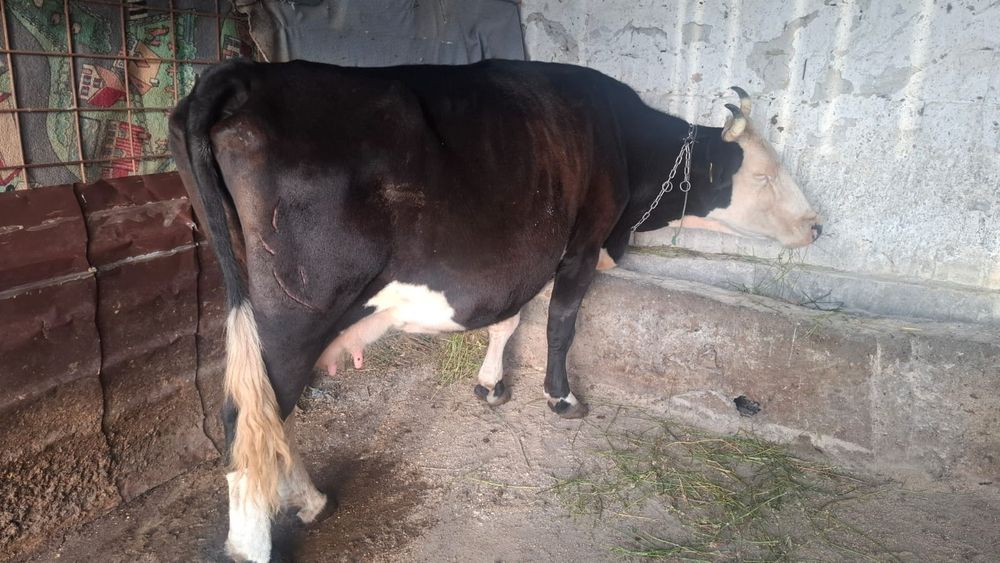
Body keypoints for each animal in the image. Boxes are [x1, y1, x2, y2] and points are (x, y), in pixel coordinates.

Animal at [168, 58, 820, 562]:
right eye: (766, 175)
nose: (817, 225)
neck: (621, 139)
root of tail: (239, 74)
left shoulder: (524, 258)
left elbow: (510, 320)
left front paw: (490, 384)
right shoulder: (582, 243)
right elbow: (561, 324)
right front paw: (561, 397)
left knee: (265, 418)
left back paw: (313, 502)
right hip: (293, 316)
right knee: (246, 419)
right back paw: (257, 540)